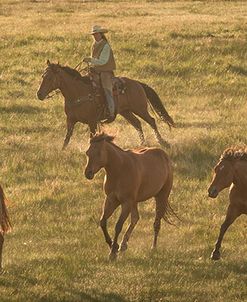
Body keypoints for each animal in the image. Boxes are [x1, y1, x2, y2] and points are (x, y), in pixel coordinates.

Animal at [36, 60, 175, 149]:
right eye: (42, 76)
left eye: (49, 78)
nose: (39, 94)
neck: (78, 93)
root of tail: (137, 83)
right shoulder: (70, 120)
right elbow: (67, 138)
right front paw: (62, 151)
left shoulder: (92, 121)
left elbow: (91, 137)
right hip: (126, 111)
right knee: (137, 123)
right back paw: (142, 144)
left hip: (140, 109)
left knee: (151, 121)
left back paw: (162, 142)